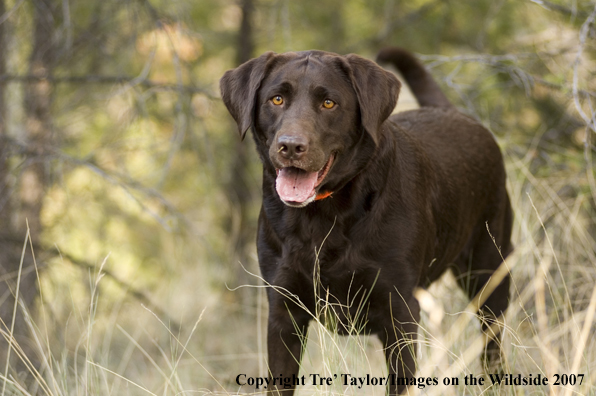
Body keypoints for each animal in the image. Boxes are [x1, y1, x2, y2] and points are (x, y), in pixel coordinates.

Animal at [219, 45, 512, 392]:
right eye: (276, 99)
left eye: (328, 103)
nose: (290, 145)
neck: (322, 219)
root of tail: (453, 113)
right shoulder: (283, 314)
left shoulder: (399, 314)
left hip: (489, 274)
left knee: (492, 343)